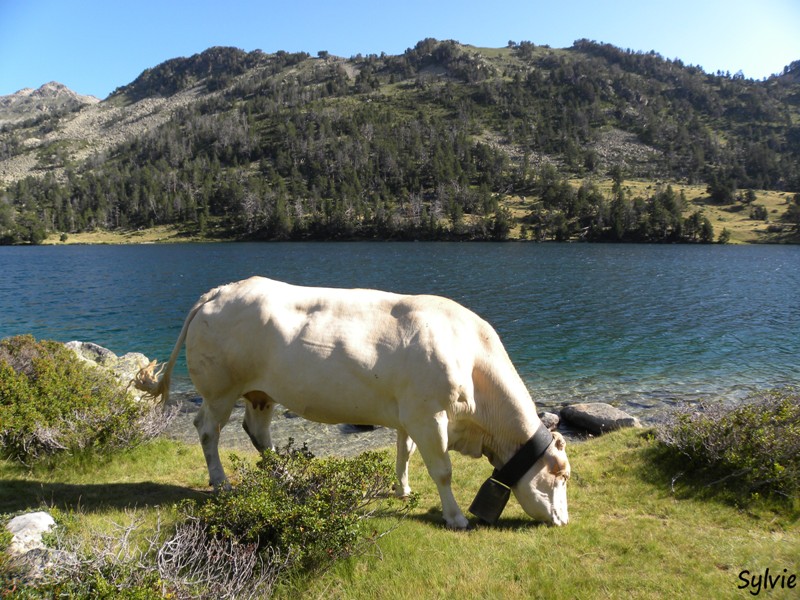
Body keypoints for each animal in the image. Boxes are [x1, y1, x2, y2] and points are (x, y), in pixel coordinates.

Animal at [133, 274, 568, 528]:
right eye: (562, 475)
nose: (563, 521)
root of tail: (220, 290)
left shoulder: (409, 413)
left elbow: (405, 453)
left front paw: (402, 489)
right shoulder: (428, 415)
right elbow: (442, 471)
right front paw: (456, 517)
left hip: (262, 392)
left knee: (257, 431)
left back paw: (286, 478)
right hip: (220, 389)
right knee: (208, 429)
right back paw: (222, 483)